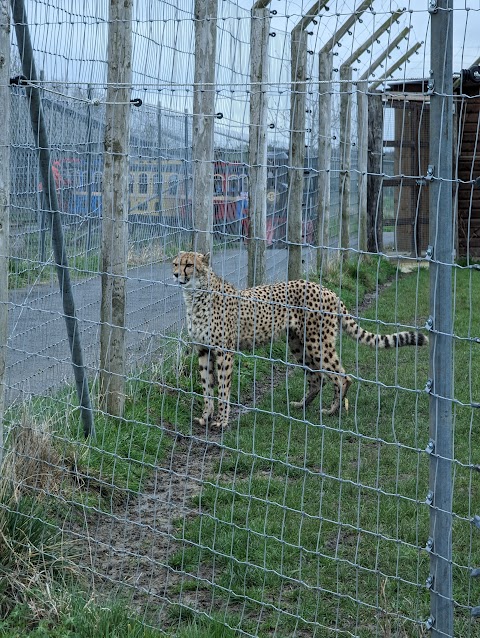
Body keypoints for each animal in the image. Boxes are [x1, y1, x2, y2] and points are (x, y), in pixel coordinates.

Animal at [172, 254, 428, 430]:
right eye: (175, 263)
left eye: (189, 265)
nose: (175, 275)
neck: (196, 296)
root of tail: (328, 289)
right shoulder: (204, 350)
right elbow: (207, 387)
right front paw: (205, 416)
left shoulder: (224, 352)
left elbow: (223, 389)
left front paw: (222, 421)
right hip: (298, 343)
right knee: (317, 378)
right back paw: (301, 406)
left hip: (318, 343)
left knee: (341, 375)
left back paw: (333, 410)